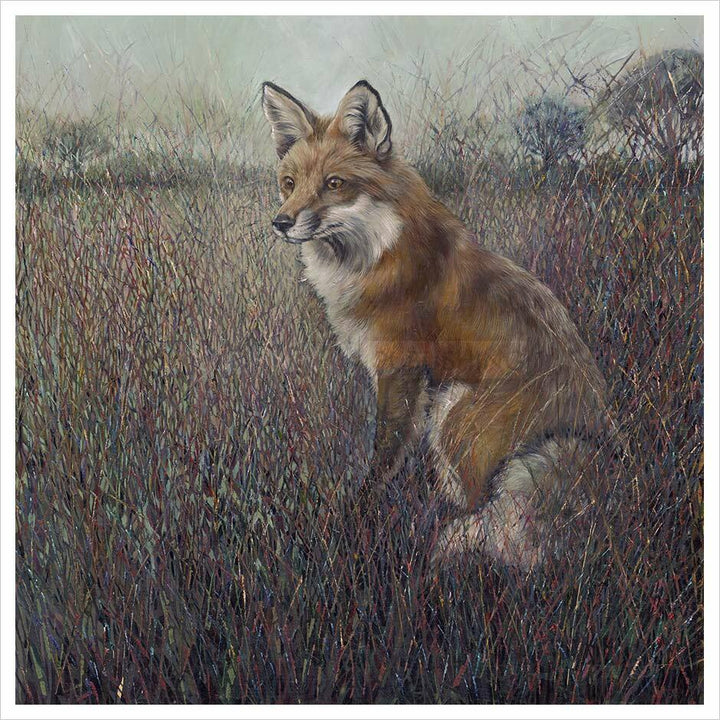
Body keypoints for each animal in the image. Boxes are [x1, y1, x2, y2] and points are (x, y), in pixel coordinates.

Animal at [261, 79, 607, 570]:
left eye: (334, 184)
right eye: (289, 183)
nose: (281, 222)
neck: (379, 252)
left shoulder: (400, 368)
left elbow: (384, 455)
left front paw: (358, 514)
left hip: (456, 414)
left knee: (486, 518)